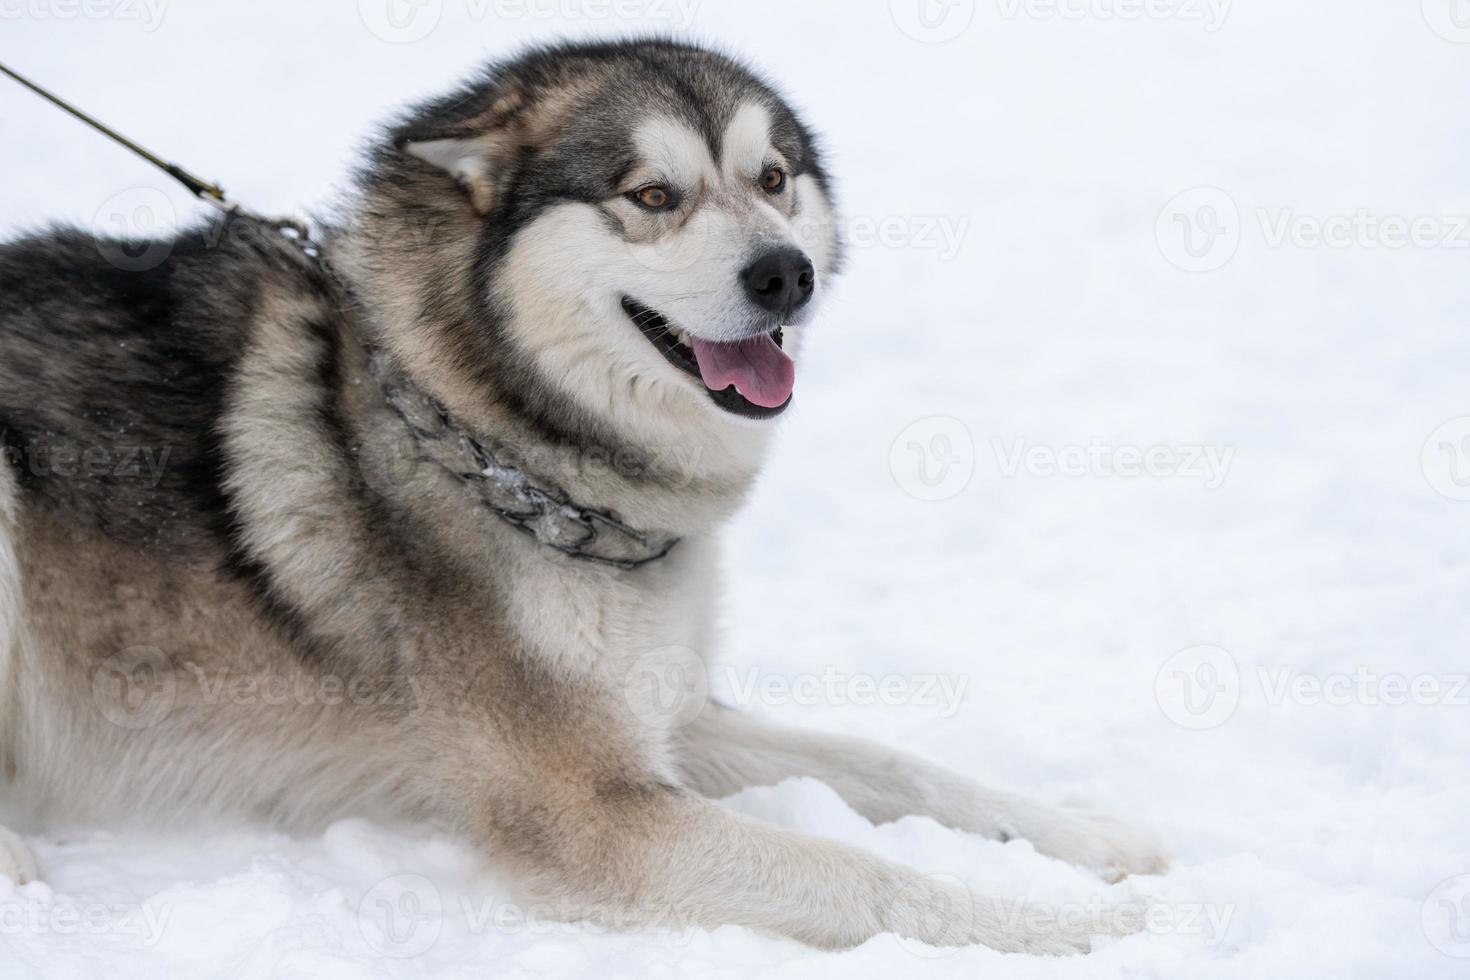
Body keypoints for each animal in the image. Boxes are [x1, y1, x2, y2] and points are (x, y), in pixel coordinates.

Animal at [0, 38, 1170, 952]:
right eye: (650, 195)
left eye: (774, 178)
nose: (784, 274)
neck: (485, 432)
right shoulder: (594, 810)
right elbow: (868, 877)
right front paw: (1070, 931)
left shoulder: (666, 713)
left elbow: (902, 765)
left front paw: (1094, 838)